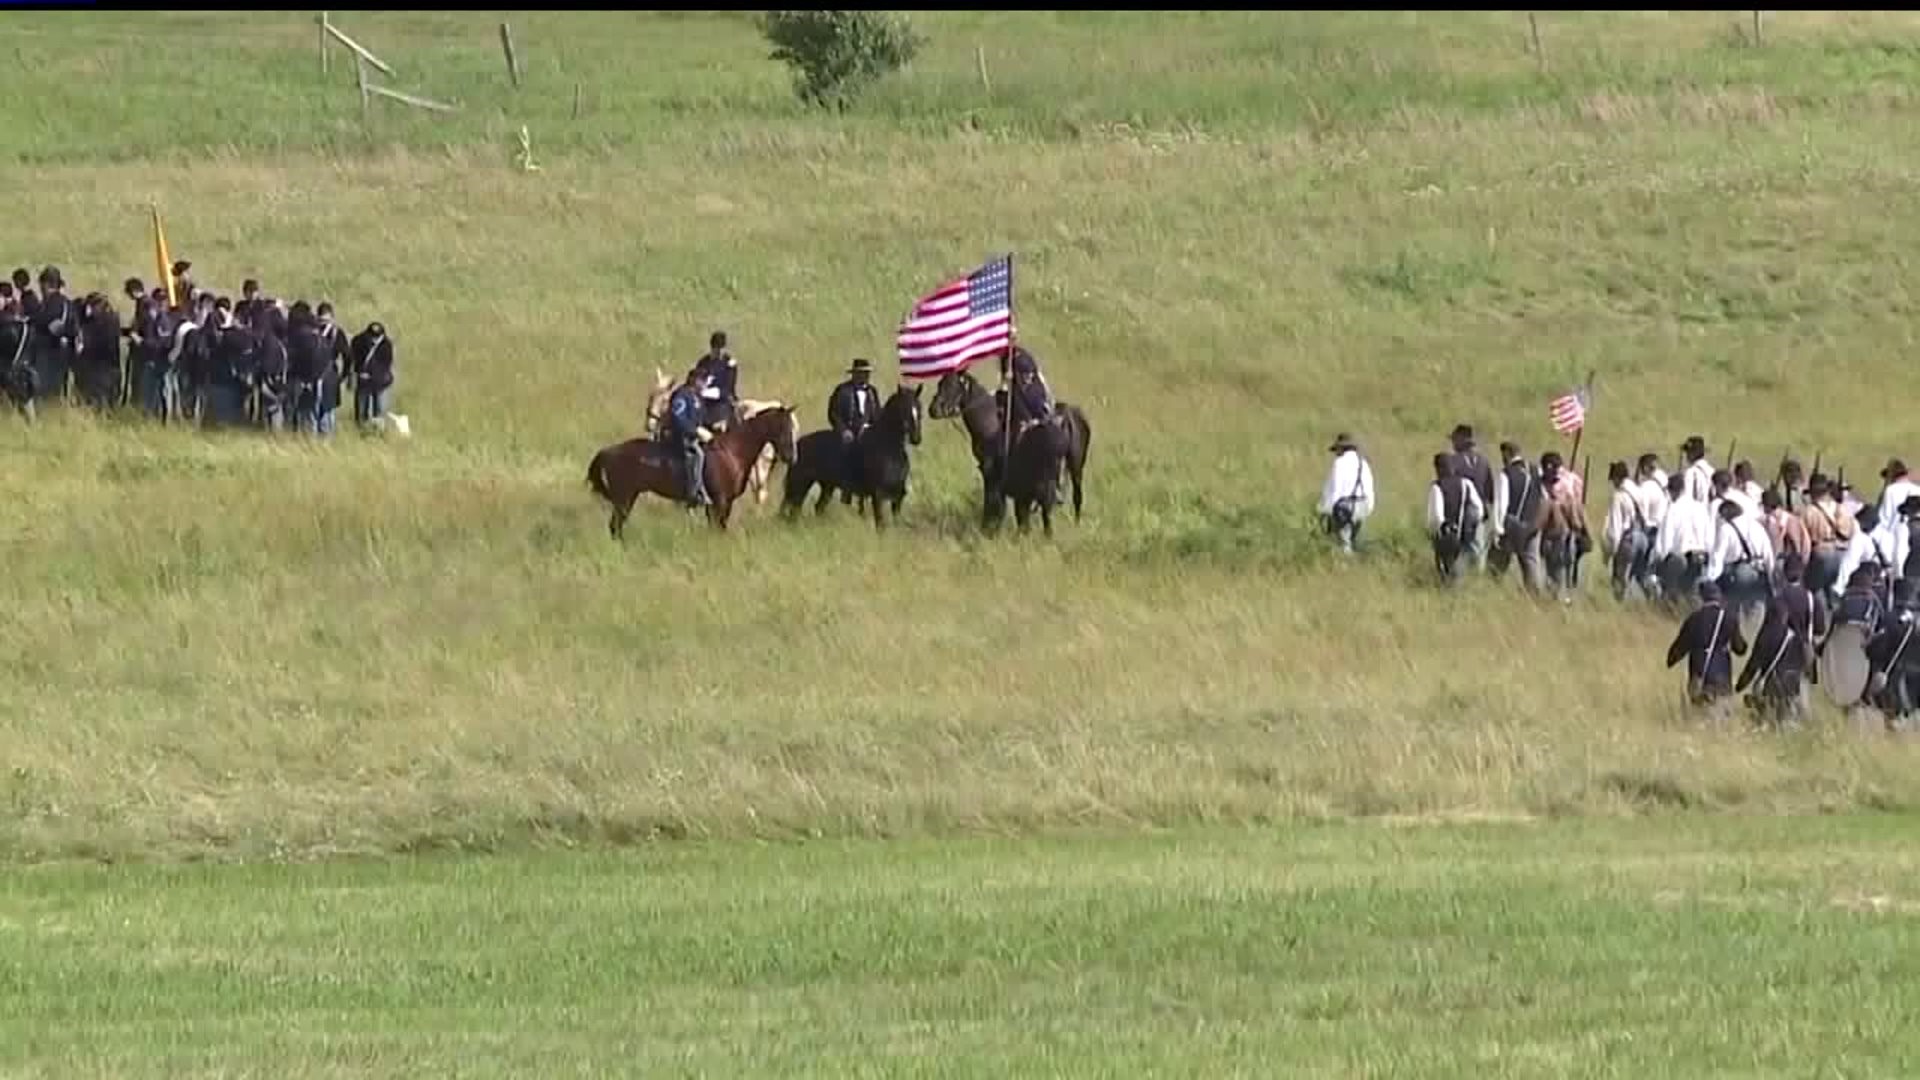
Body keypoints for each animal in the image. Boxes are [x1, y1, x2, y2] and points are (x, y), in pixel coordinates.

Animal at [583, 401, 794, 534]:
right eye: (783, 427)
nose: (791, 456)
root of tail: (608, 451)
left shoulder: (718, 505)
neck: (732, 451)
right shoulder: (721, 502)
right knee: (615, 527)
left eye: (792, 427)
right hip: (624, 499)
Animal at [783, 382, 925, 526]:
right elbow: (880, 523)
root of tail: (798, 442)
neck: (889, 450)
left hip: (827, 486)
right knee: (794, 509)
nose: (916, 439)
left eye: (919, 409)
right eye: (904, 409)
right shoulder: (878, 495)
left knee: (816, 508)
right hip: (801, 483)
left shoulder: (898, 497)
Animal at [929, 365, 1098, 534]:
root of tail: (1067, 417)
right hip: (1073, 468)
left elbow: (994, 504)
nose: (933, 410)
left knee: (1056, 501)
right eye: (940, 384)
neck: (992, 424)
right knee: (1074, 498)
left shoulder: (992, 475)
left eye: (952, 385)